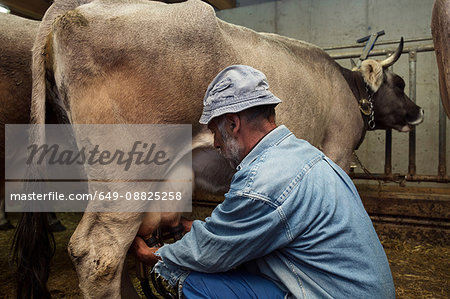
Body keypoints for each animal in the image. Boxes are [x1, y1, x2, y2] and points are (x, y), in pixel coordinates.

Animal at [12, 1, 424, 298]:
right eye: (400, 83)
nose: (419, 111)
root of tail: (73, 10)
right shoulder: (336, 149)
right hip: (126, 177)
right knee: (99, 254)